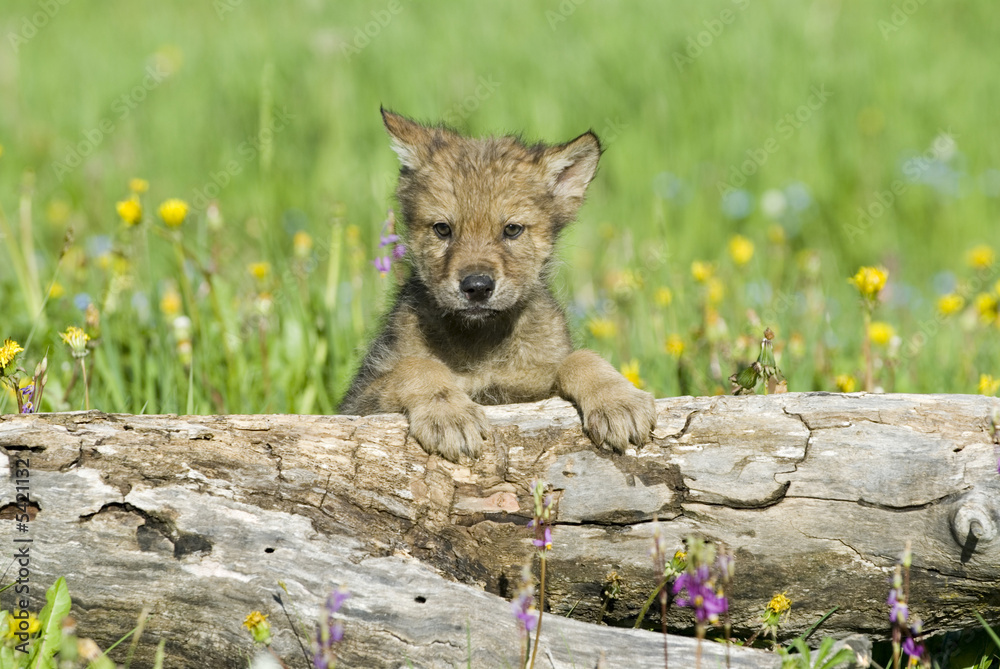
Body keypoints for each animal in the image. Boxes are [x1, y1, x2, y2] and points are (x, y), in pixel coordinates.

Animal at [340, 109, 656, 462]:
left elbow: (580, 358)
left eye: (512, 229)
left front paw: (618, 401)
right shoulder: (359, 401)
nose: (477, 287)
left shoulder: (533, 386)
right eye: (442, 229)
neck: (483, 345)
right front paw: (449, 415)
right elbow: (415, 366)